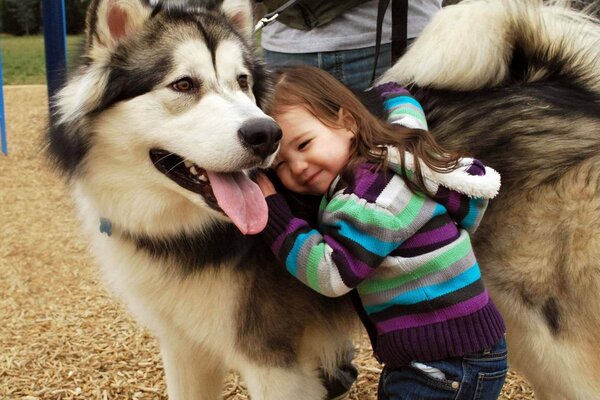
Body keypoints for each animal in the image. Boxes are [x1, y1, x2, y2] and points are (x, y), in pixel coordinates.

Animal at [47, 0, 600, 398]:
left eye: (242, 83)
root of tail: (568, 90)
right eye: (183, 84)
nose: (265, 134)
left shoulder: (274, 363)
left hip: (555, 342)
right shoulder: (184, 348)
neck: (186, 230)